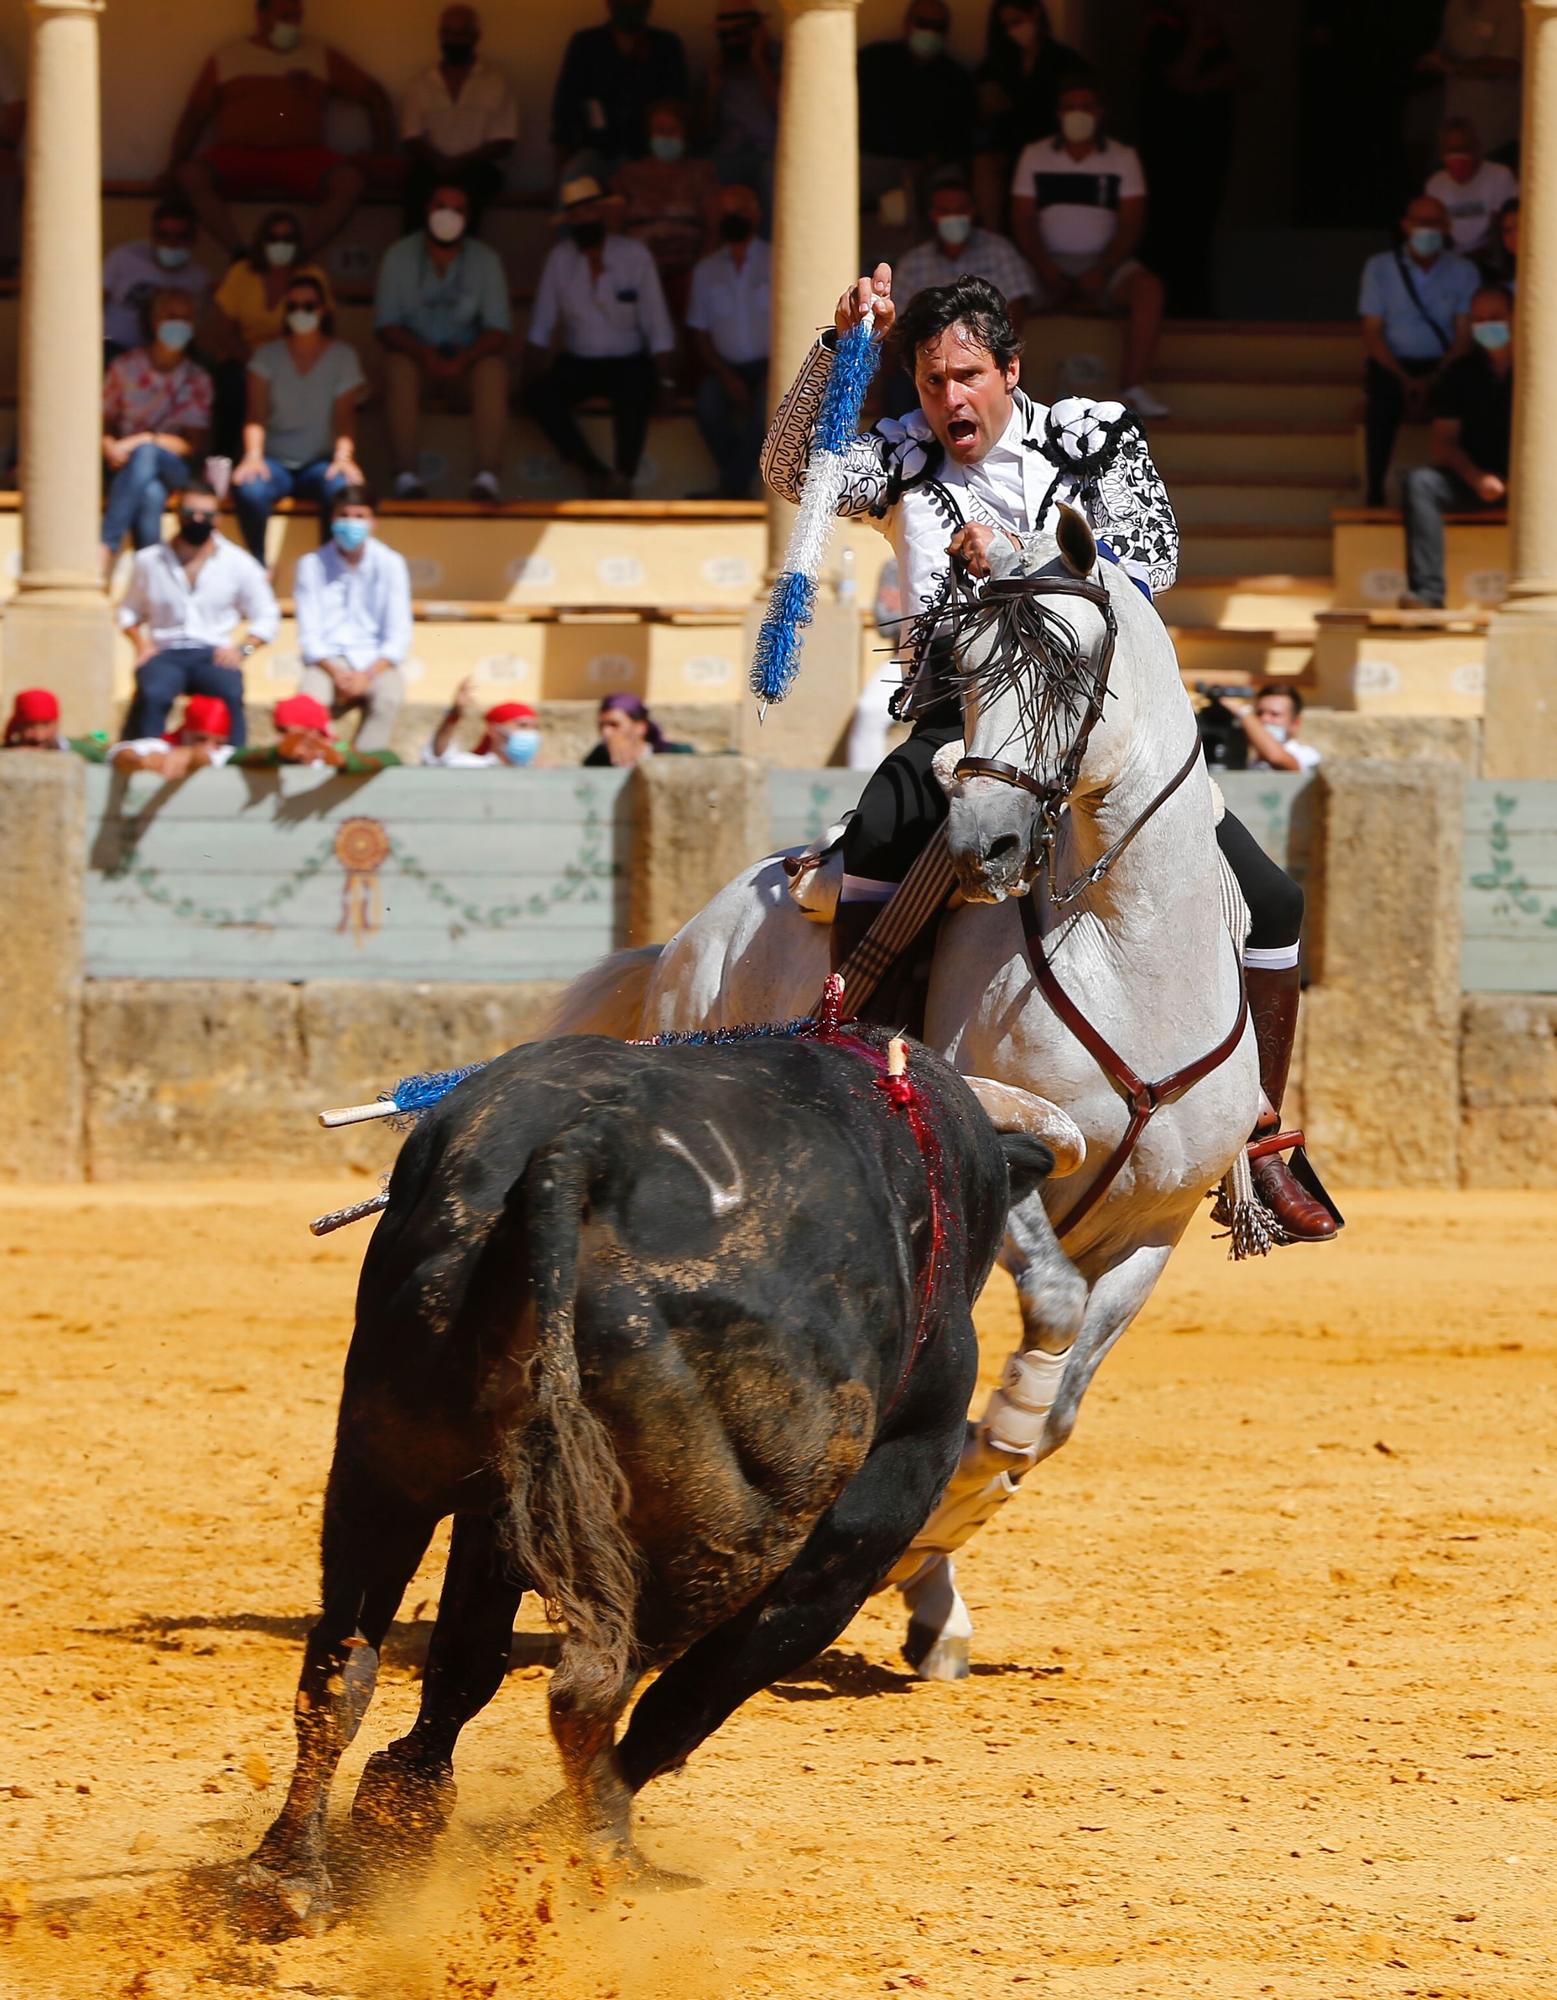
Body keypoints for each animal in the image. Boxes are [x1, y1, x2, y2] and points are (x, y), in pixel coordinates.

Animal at [242, 1032, 1048, 1920]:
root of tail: (585, 1148)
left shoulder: (498, 1508)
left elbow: (466, 1653)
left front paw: (405, 1803)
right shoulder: (854, 1543)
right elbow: (692, 1696)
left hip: (385, 1461)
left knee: (341, 1660)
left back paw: (287, 1875)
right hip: (726, 1530)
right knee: (601, 1687)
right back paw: (606, 1858)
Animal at [552, 512, 1256, 1672]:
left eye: (1073, 668)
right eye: (959, 668)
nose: (984, 842)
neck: (1129, 948)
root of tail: (692, 937)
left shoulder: (1153, 1224)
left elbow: (1062, 1405)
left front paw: (940, 1549)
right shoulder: (1006, 1170)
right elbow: (1042, 1327)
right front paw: (963, 1485)